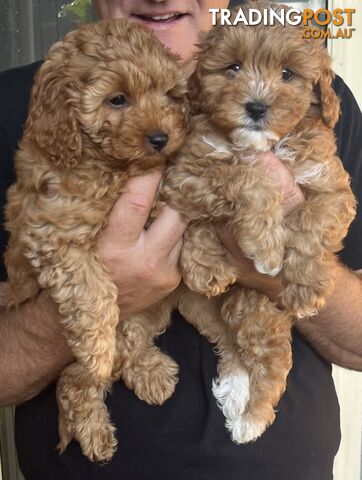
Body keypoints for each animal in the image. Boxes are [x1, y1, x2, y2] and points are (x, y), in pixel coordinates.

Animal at [4, 18, 189, 462]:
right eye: (117, 99)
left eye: (169, 95)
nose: (161, 138)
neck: (109, 164)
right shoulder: (55, 234)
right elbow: (94, 292)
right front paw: (97, 346)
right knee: (77, 380)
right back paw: (94, 424)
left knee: (130, 340)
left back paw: (150, 371)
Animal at [117, 1, 354, 446]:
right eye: (233, 68)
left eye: (287, 74)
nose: (256, 108)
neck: (262, 145)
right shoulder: (187, 172)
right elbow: (244, 175)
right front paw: (260, 245)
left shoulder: (332, 188)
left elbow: (312, 223)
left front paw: (306, 286)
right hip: (227, 306)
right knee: (238, 345)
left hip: (257, 304)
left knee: (270, 359)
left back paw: (250, 415)